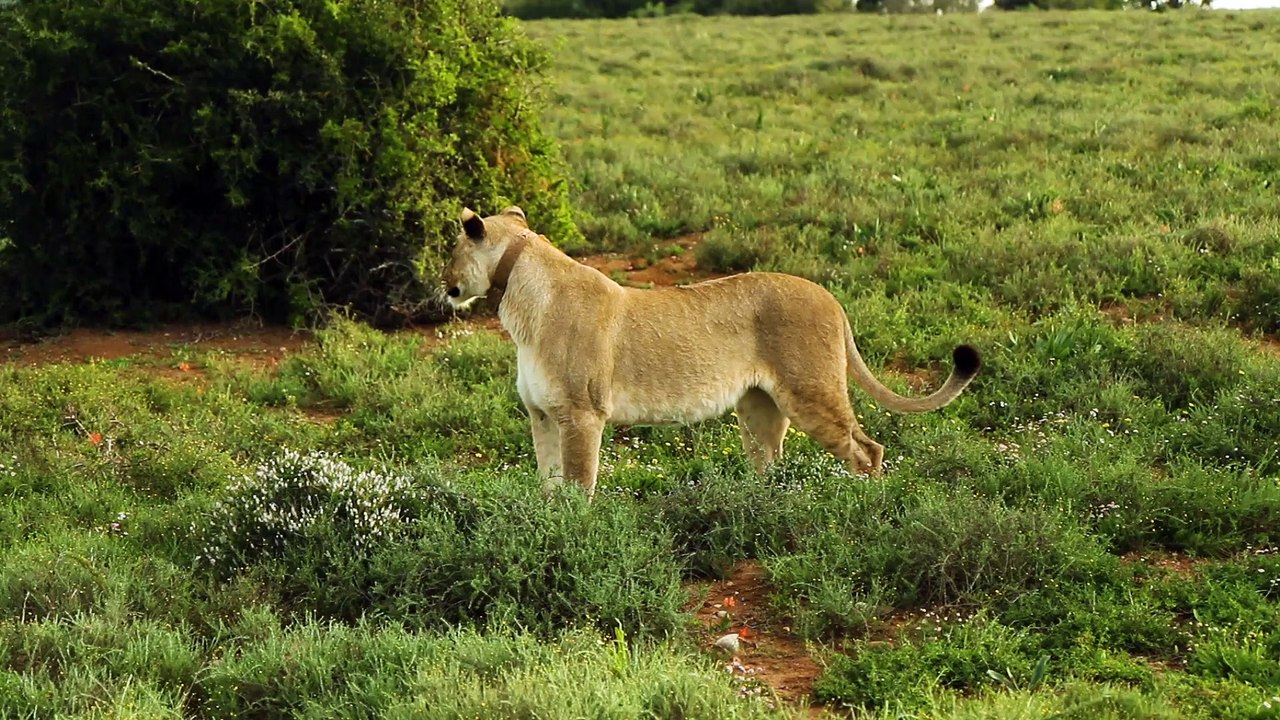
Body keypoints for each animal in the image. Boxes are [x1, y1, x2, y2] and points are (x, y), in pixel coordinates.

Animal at [442, 206, 980, 498]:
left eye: (449, 251)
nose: (442, 285)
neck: (518, 298)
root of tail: (831, 297)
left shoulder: (582, 413)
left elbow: (578, 484)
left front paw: (574, 532)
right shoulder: (543, 415)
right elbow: (548, 482)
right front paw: (548, 521)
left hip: (811, 392)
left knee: (867, 449)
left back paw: (861, 504)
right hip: (759, 407)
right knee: (773, 462)